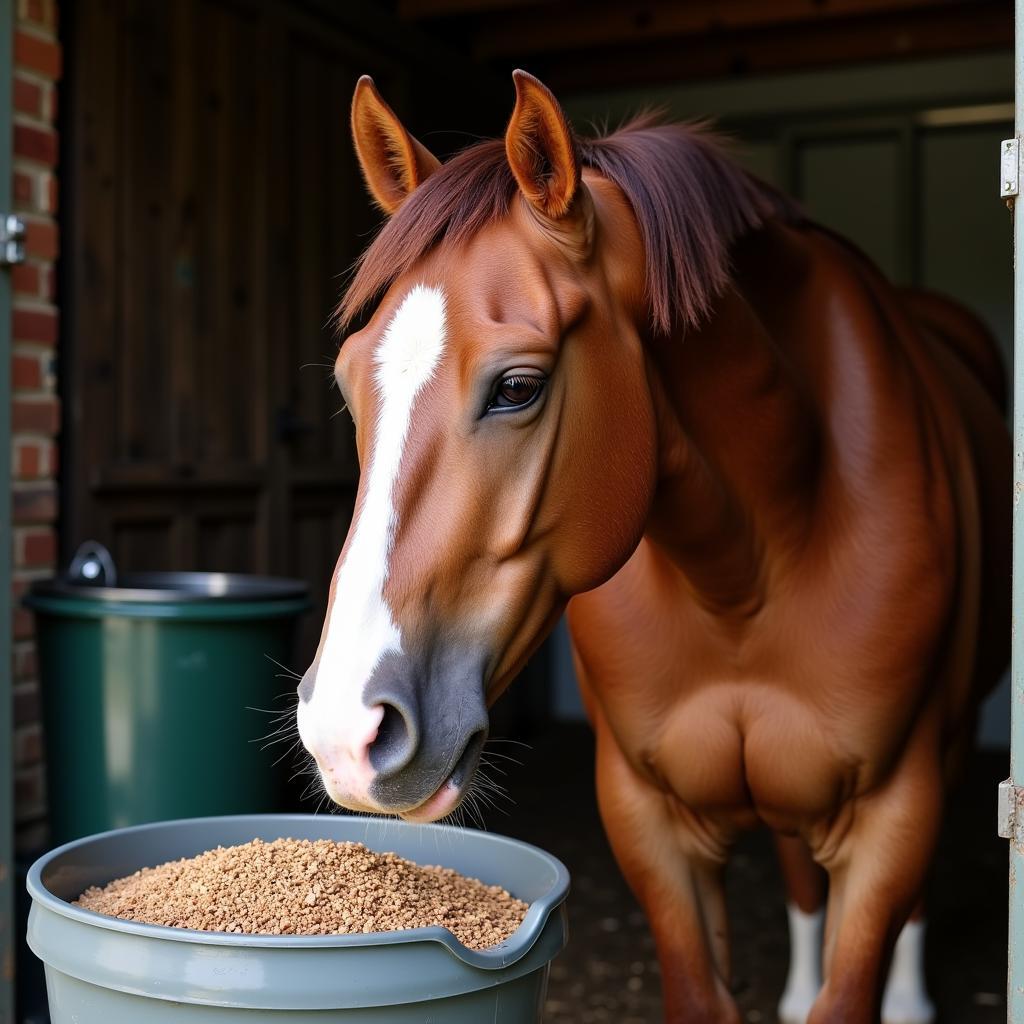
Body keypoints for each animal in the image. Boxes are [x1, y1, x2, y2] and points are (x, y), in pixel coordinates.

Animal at [294, 74, 1007, 1024]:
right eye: (348, 383)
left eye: (518, 386)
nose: (345, 730)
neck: (747, 572)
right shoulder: (650, 822)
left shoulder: (894, 817)